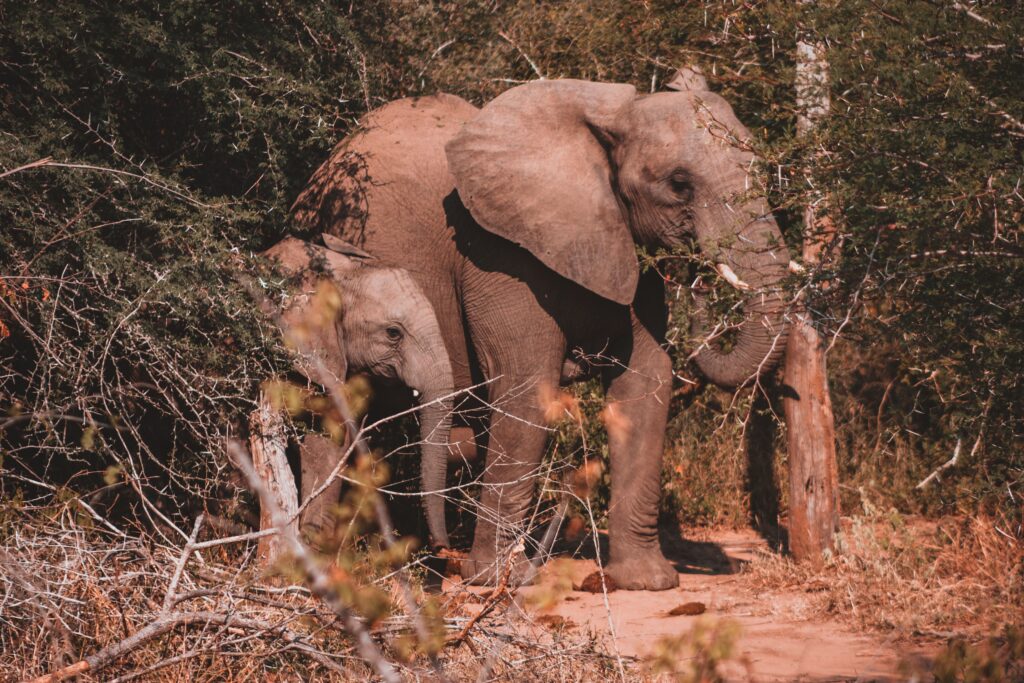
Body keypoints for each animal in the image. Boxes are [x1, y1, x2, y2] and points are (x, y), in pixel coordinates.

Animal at [291, 69, 790, 590]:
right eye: (679, 184)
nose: (699, 278)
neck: (608, 119)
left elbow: (646, 383)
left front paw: (647, 582)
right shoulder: (498, 254)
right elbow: (527, 388)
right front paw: (498, 581)